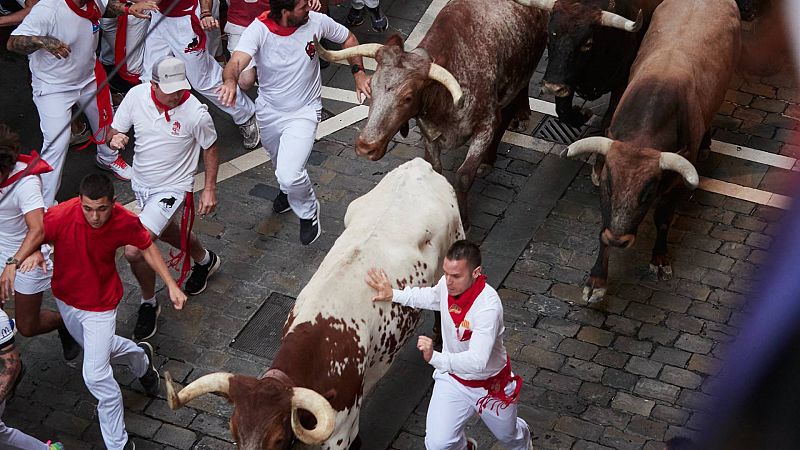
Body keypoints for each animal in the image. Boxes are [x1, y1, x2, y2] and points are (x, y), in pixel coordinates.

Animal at [312, 0, 552, 229]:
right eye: (371, 85)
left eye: (408, 97)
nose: (365, 147)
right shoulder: (429, 133)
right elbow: (436, 170)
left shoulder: (486, 125)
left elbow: (464, 175)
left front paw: (464, 220)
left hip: (522, 73)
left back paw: (509, 132)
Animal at [564, 0, 740, 302]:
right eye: (608, 185)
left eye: (648, 194)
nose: (618, 240)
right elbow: (603, 223)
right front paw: (597, 280)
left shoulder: (674, 184)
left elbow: (663, 219)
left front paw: (659, 259)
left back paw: (707, 144)